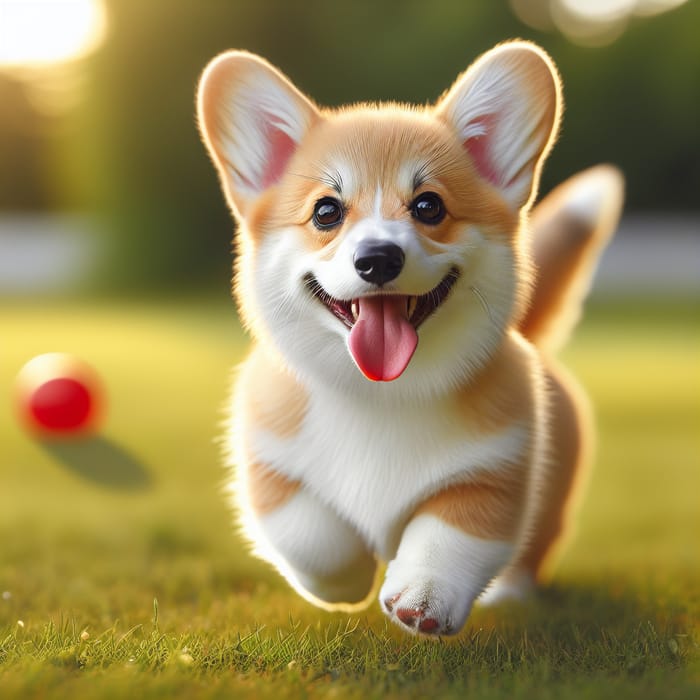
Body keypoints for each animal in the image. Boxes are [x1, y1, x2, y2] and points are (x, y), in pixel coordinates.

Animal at [197, 41, 624, 636]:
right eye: (326, 211)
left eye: (429, 206)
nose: (378, 258)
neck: (381, 394)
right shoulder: (269, 463)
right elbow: (314, 537)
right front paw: (348, 581)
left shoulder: (495, 470)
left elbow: (447, 538)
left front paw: (421, 598)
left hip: (553, 496)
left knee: (533, 549)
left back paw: (510, 595)